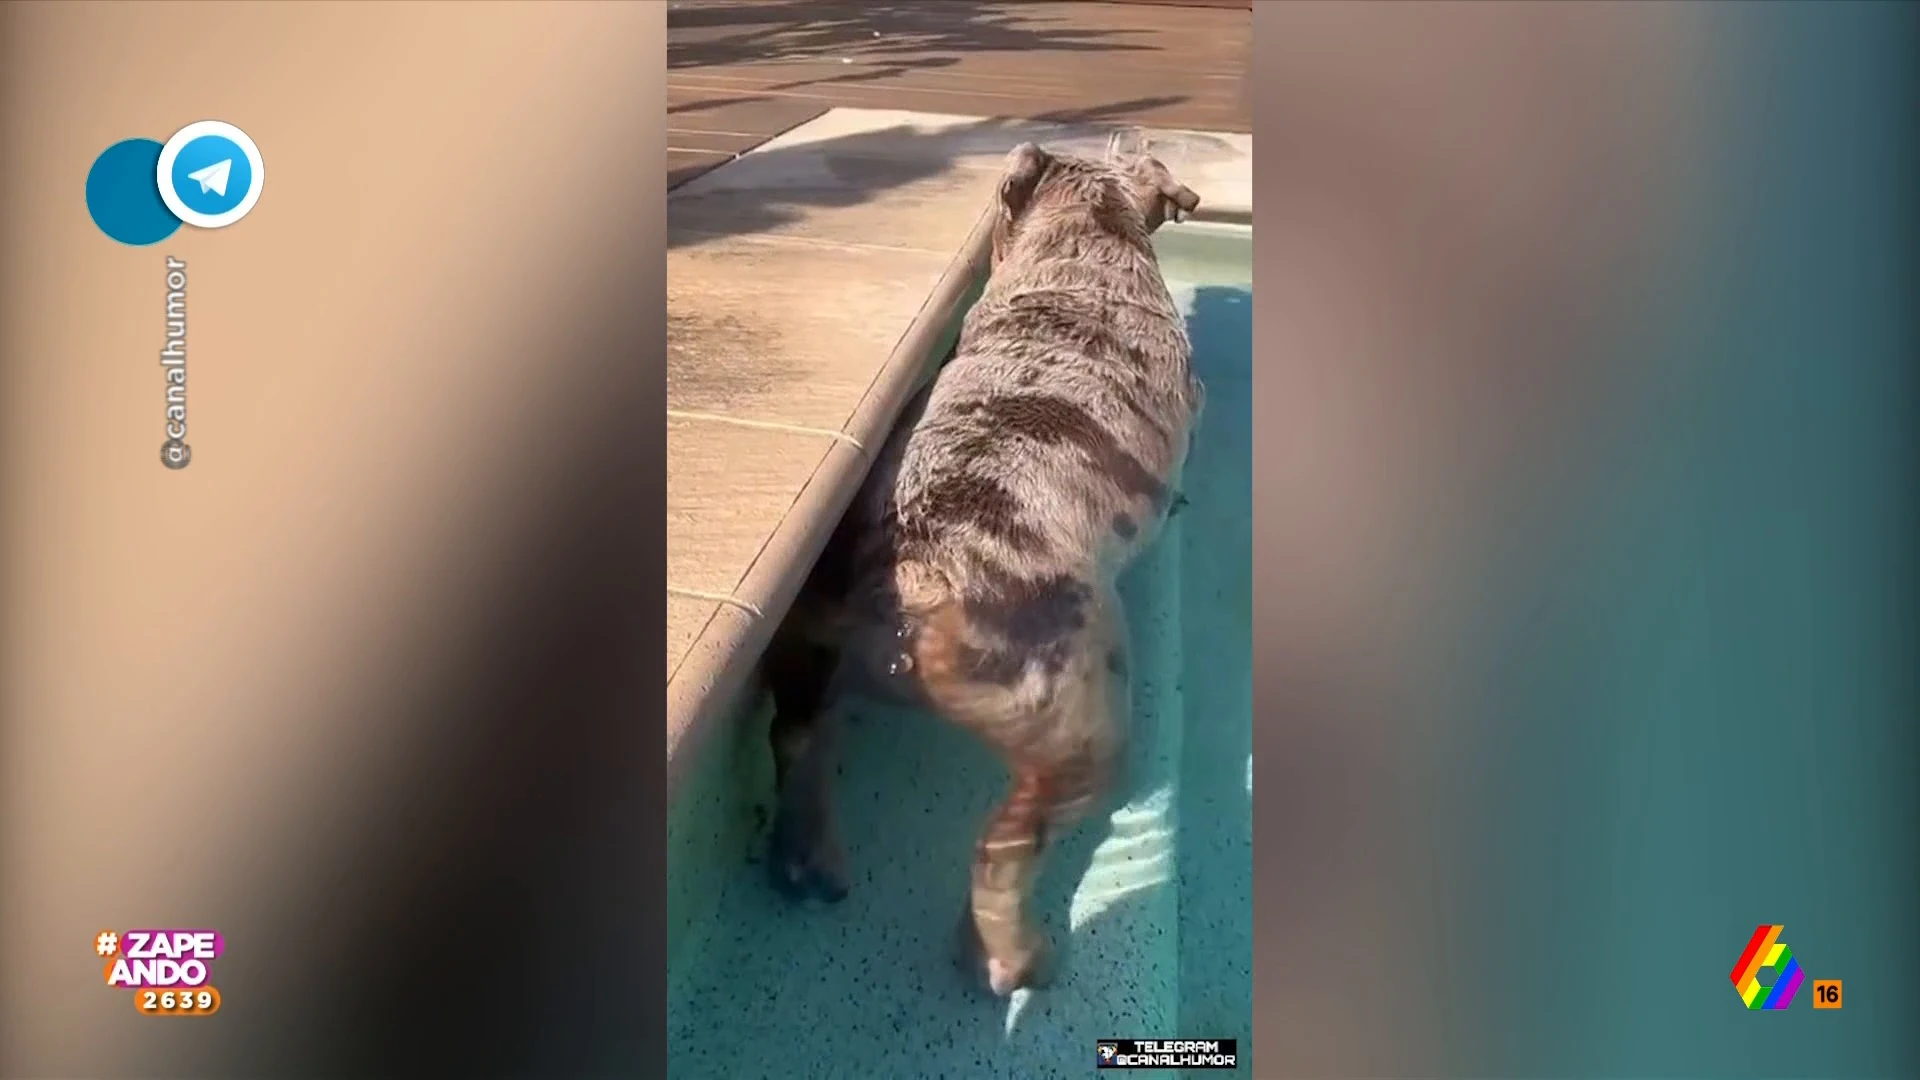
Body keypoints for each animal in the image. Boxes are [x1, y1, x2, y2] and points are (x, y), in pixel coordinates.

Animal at [760, 141, 1198, 991]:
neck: (1089, 236)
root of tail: (906, 587)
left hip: (802, 637)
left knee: (798, 735)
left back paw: (809, 860)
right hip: (1081, 731)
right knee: (1002, 851)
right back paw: (1013, 960)